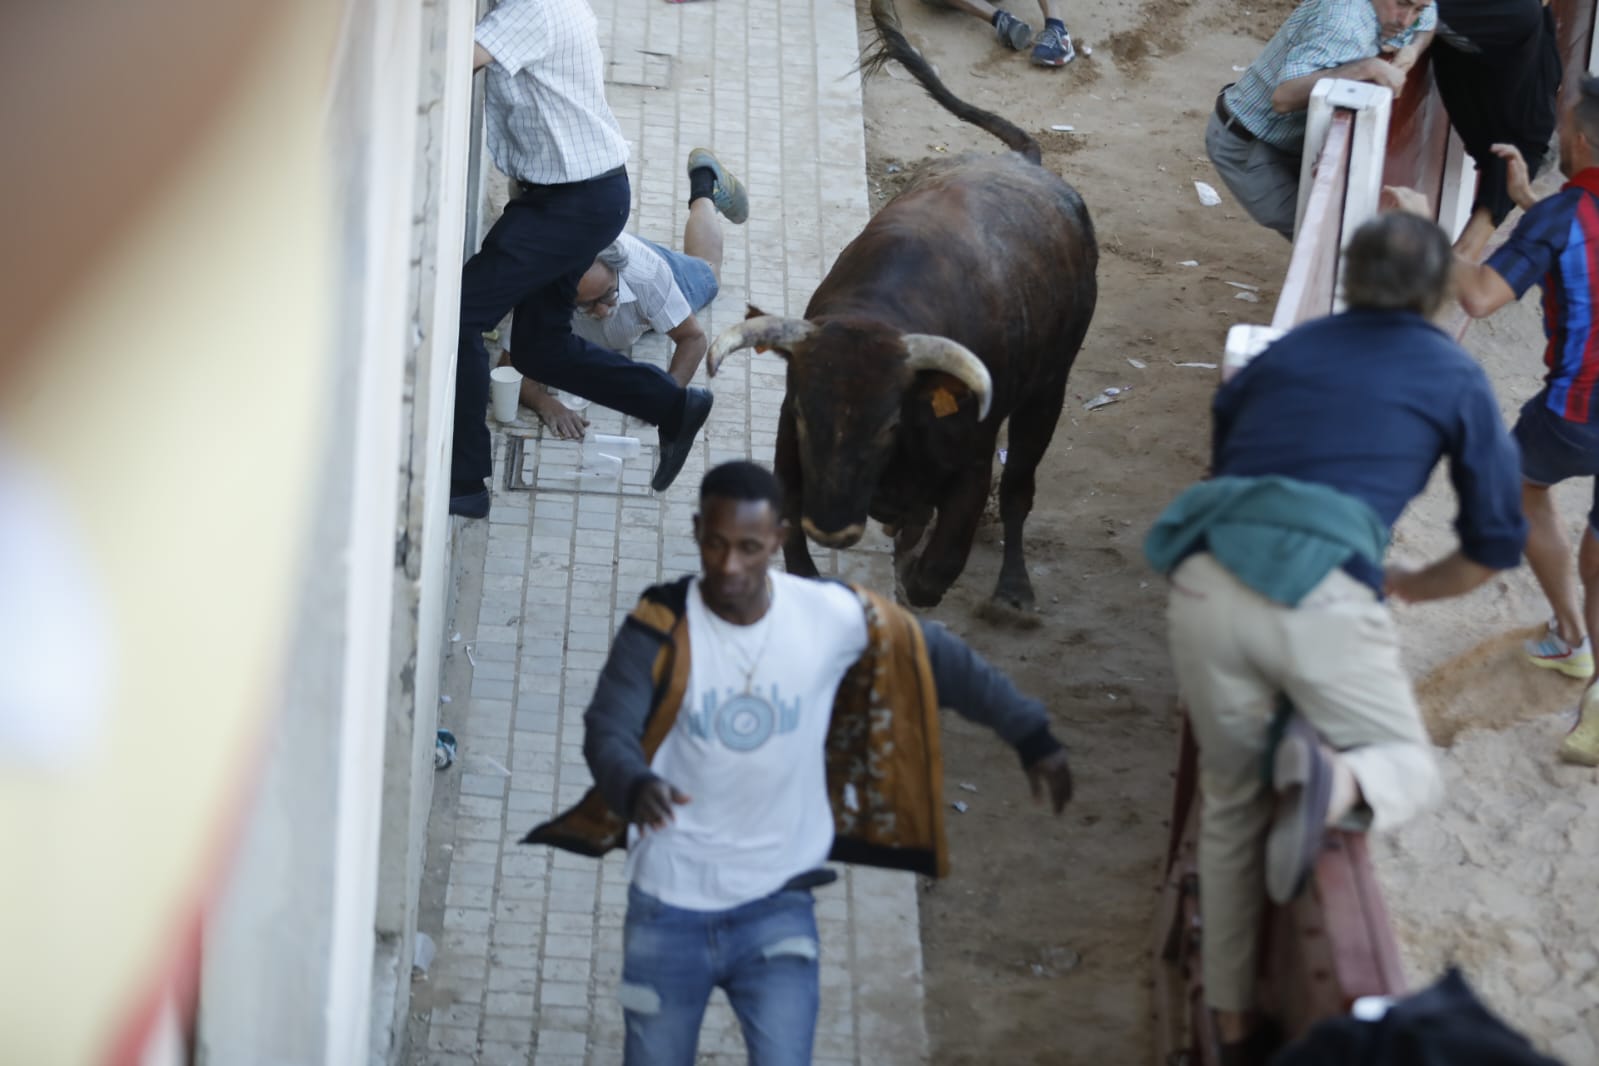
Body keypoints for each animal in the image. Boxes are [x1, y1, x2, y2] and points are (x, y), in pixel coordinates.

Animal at [713, 0, 1100, 607]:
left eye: (889, 424)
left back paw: (1014, 587)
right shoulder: (789, 447)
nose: (832, 529)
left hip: (1048, 391)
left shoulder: (972, 466)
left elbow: (933, 574)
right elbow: (799, 552)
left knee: (1019, 488)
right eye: (801, 412)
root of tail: (1031, 163)